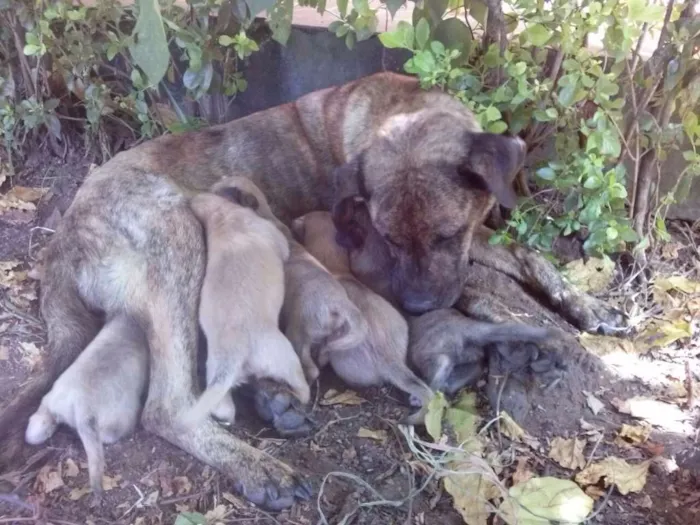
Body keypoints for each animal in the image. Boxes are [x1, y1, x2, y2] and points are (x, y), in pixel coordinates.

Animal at [182, 190, 310, 428]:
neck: (222, 217)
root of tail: (232, 356)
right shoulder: (271, 234)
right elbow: (284, 246)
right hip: (284, 356)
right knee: (299, 382)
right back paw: (305, 396)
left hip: (215, 378)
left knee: (222, 406)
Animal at [209, 174, 370, 382]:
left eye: (220, 193)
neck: (264, 214)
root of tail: (339, 304)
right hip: (333, 337)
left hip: (299, 332)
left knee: (309, 365)